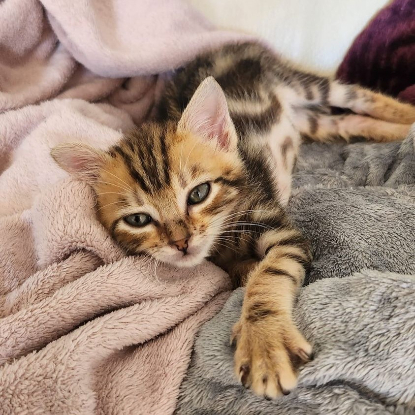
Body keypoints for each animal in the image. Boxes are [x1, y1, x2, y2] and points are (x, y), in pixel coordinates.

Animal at [51, 41, 415, 399]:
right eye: (139, 219)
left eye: (198, 194)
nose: (181, 243)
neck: (223, 233)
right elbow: (240, 272)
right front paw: (246, 285)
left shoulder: (280, 229)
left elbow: (270, 274)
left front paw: (264, 344)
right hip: (309, 122)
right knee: (347, 123)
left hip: (302, 84)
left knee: (359, 97)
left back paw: (408, 118)